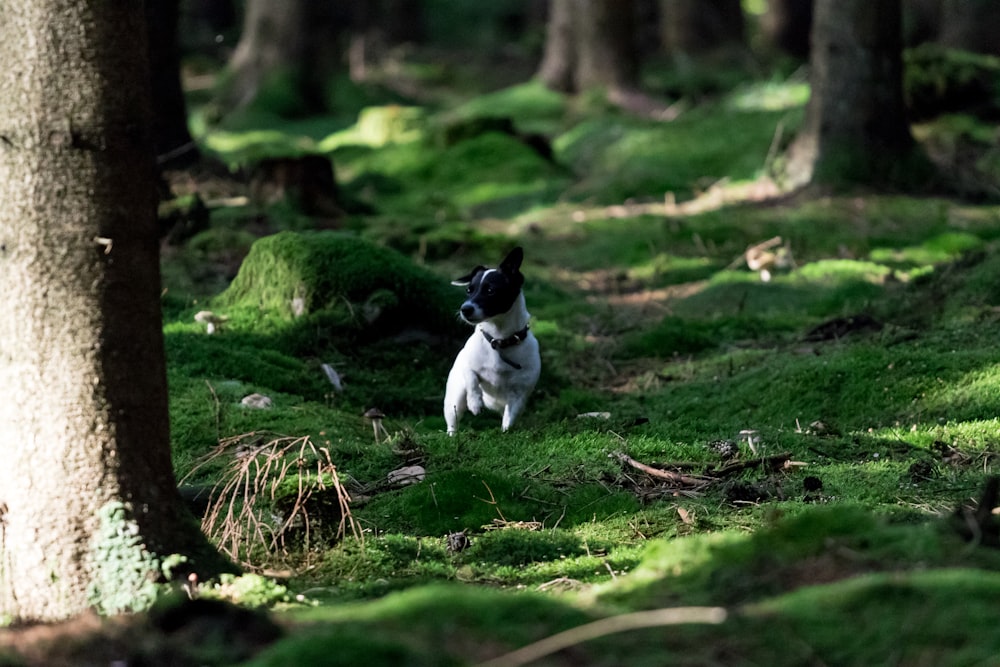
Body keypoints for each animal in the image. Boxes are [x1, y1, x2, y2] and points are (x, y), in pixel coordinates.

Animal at [446, 248, 540, 436]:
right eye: (469, 290)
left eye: (490, 290)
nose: (464, 309)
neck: (499, 340)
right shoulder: (468, 365)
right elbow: (472, 377)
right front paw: (475, 403)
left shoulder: (519, 394)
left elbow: (510, 417)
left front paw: (506, 431)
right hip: (455, 398)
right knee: (453, 419)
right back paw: (452, 435)